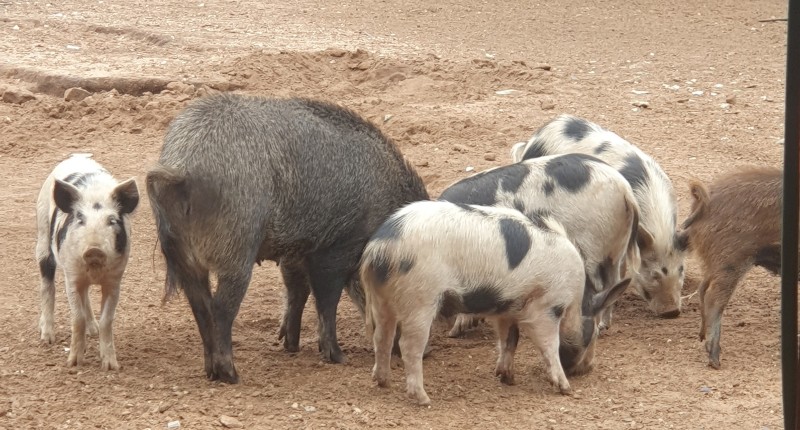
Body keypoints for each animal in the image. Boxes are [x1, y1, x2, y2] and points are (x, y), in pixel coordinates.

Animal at [35, 153, 139, 370]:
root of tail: (77, 156)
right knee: (47, 285)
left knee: (86, 298)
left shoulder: (115, 280)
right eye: (80, 219)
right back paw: (47, 338)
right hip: (42, 236)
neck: (94, 270)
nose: (94, 249)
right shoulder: (72, 276)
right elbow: (77, 317)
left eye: (112, 221)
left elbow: (107, 319)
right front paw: (74, 363)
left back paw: (94, 330)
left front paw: (111, 366)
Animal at [146, 93, 429, 383]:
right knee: (221, 308)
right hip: (237, 249)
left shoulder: (297, 250)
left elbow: (298, 291)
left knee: (201, 307)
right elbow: (327, 300)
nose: (426, 353)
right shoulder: (336, 248)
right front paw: (338, 357)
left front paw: (290, 345)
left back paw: (211, 372)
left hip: (186, 259)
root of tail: (181, 167)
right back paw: (231, 375)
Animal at [361, 200, 631, 405]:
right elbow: (549, 344)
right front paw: (565, 388)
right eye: (593, 333)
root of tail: (379, 248)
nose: (589, 368)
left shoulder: (507, 308)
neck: (575, 298)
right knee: (408, 346)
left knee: (381, 338)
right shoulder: (545, 308)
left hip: (381, 299)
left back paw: (382, 382)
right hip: (420, 298)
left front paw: (507, 378)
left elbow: (510, 339)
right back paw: (424, 399)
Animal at [440, 153, 641, 335]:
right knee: (614, 282)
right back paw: (605, 325)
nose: (448, 332)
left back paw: (597, 327)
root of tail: (626, 191)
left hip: (594, 245)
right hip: (615, 248)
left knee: (599, 287)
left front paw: (456, 330)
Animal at [677, 167, 782, 369]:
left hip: (716, 262)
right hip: (731, 259)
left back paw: (703, 339)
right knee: (714, 298)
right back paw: (715, 360)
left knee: (702, 289)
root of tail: (705, 201)